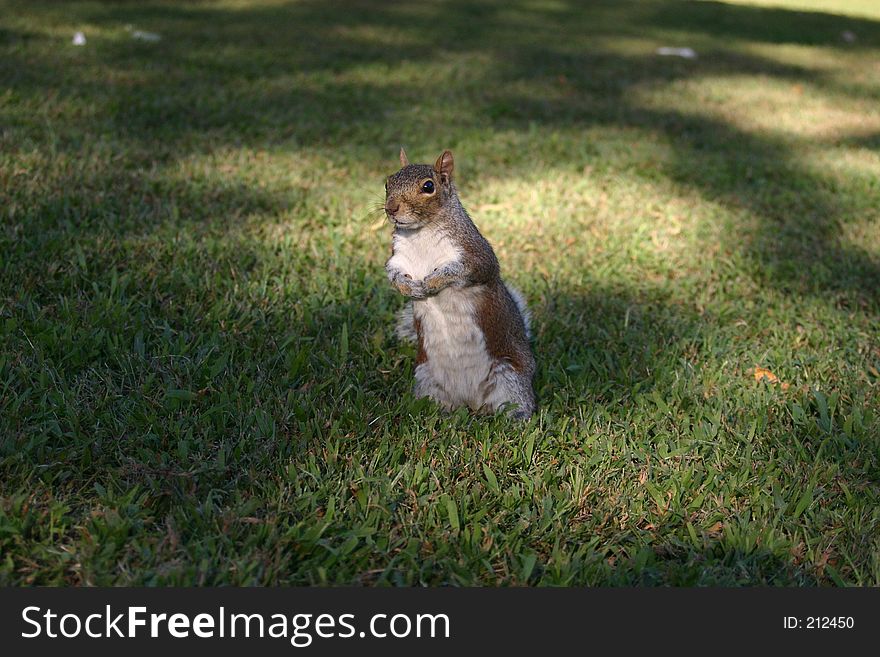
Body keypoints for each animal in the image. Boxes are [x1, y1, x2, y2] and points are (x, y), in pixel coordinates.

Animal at [384, 147, 536, 418]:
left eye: (429, 186)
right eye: (387, 182)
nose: (391, 208)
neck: (421, 233)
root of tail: (471, 402)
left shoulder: (475, 255)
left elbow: (461, 269)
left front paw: (433, 282)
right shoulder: (398, 258)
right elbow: (392, 274)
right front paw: (408, 288)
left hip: (509, 377)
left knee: (515, 404)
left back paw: (517, 419)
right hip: (426, 379)